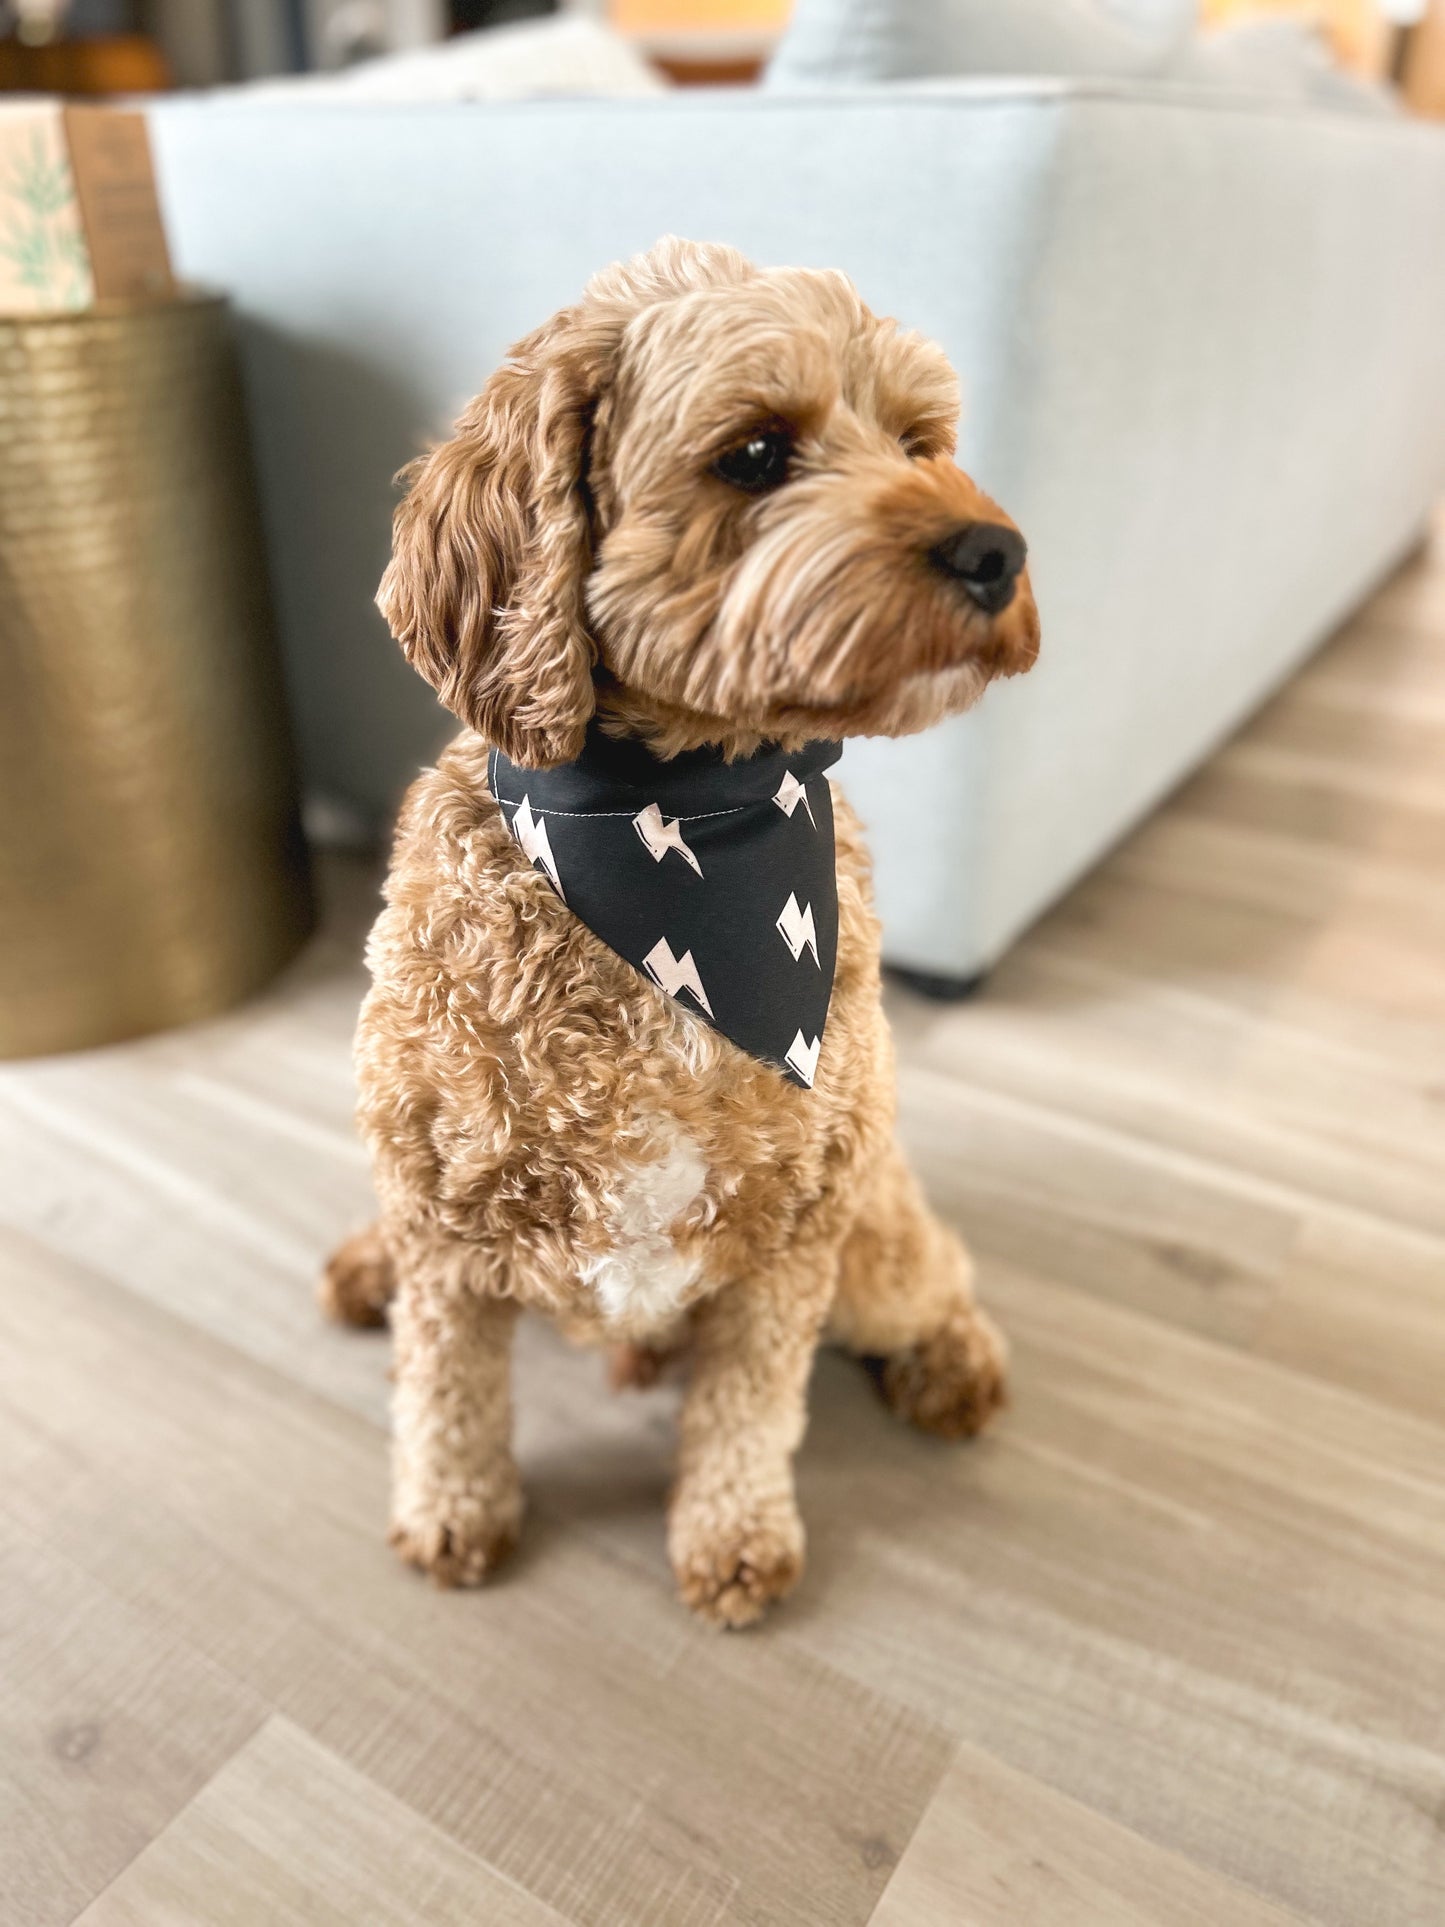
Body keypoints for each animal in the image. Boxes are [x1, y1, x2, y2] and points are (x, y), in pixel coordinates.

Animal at [325, 240, 1040, 1626]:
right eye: (755, 452)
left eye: (920, 441)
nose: (995, 547)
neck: (675, 834)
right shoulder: (446, 1214)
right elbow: (447, 1392)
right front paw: (452, 1514)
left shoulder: (794, 1235)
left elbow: (747, 1411)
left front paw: (733, 1538)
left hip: (873, 1234)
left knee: (940, 1272)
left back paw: (954, 1369)